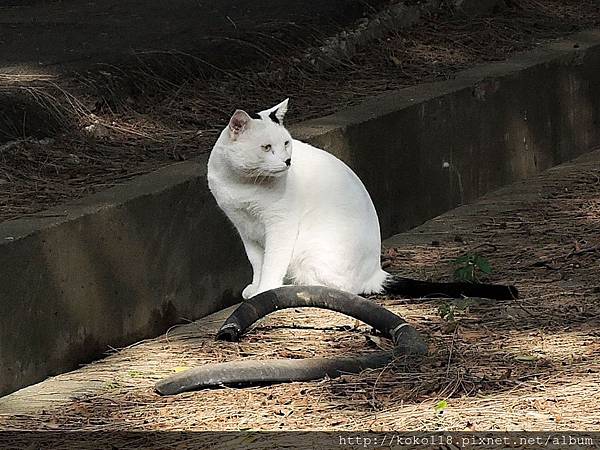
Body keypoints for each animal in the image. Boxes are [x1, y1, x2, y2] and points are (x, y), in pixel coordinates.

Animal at [207, 98, 390, 298]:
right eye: (266, 147)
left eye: (286, 143)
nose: (287, 161)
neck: (241, 183)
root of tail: (375, 274)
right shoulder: (244, 227)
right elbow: (256, 262)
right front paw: (256, 288)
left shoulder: (281, 225)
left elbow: (272, 263)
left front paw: (266, 290)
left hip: (310, 250)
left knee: (335, 288)